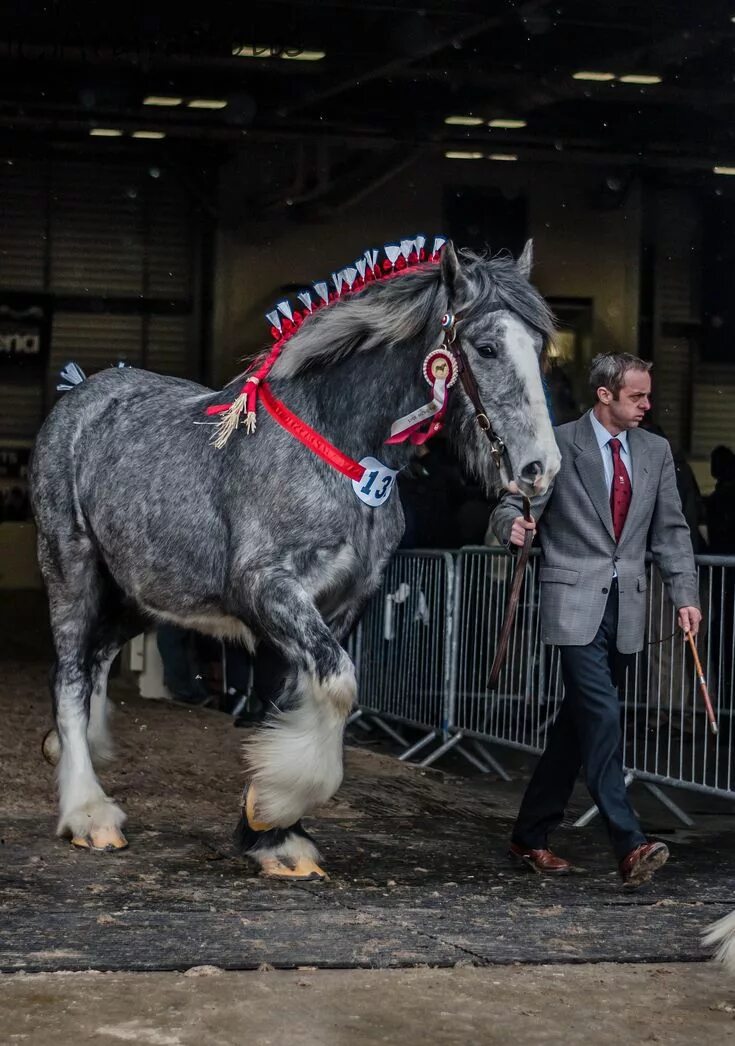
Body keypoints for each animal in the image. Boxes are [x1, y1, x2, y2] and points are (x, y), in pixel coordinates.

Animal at [27, 240, 556, 878]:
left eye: (541, 347)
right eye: (486, 347)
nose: (540, 470)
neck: (343, 457)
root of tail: (78, 395)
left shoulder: (343, 602)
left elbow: (294, 699)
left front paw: (272, 834)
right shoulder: (268, 589)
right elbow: (338, 685)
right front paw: (279, 808)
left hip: (143, 593)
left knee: (94, 659)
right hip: (71, 567)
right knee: (70, 674)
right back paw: (88, 811)